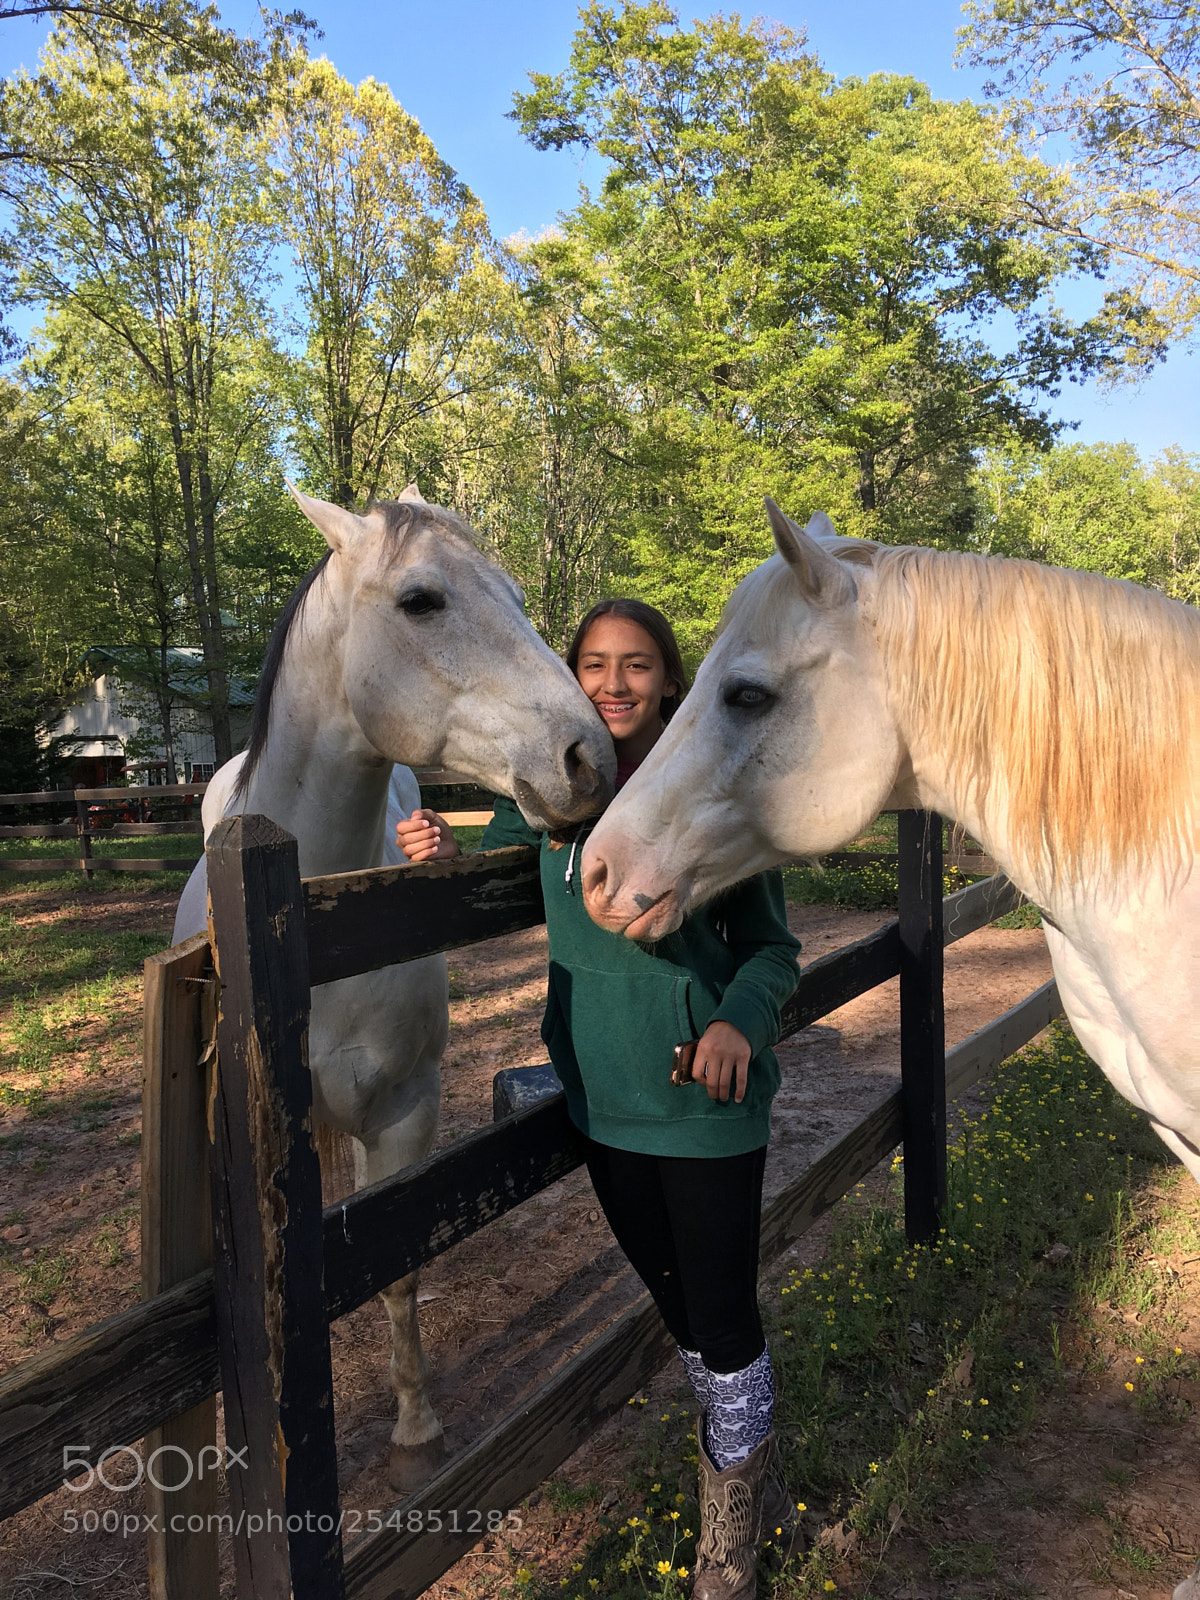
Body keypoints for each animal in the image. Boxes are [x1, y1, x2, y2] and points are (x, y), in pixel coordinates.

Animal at [173, 482, 613, 1489]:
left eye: (517, 595)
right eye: (421, 601)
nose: (590, 759)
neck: (315, 924)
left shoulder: (405, 1112)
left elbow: (397, 1264)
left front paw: (415, 1431)